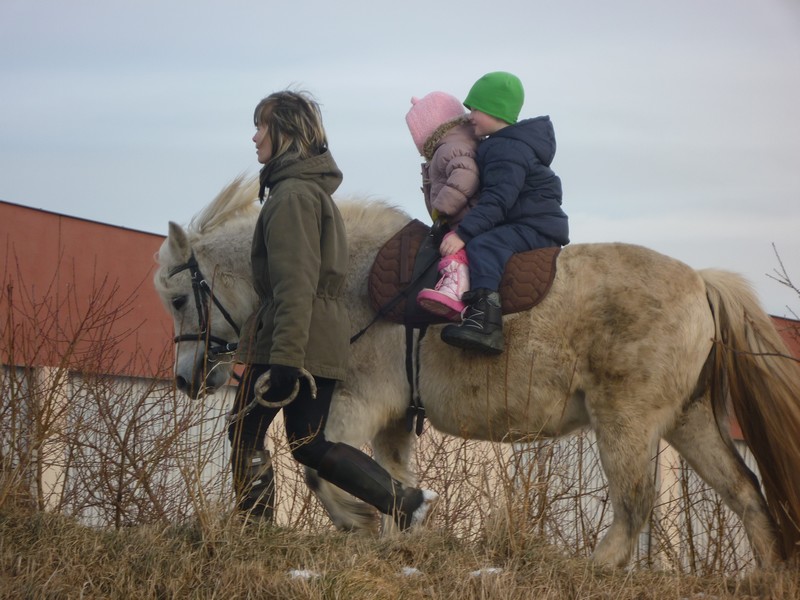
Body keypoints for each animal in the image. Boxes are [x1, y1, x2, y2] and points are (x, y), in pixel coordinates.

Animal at [155, 176, 800, 568]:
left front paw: (362, 522)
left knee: (636, 503)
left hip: (628, 423)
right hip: (689, 421)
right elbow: (389, 474)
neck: (345, 280)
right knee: (745, 492)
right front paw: (397, 530)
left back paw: (597, 567)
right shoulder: (393, 420)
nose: (189, 379)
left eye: (180, 299)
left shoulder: (355, 406)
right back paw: (765, 576)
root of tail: (701, 282)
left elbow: (319, 468)